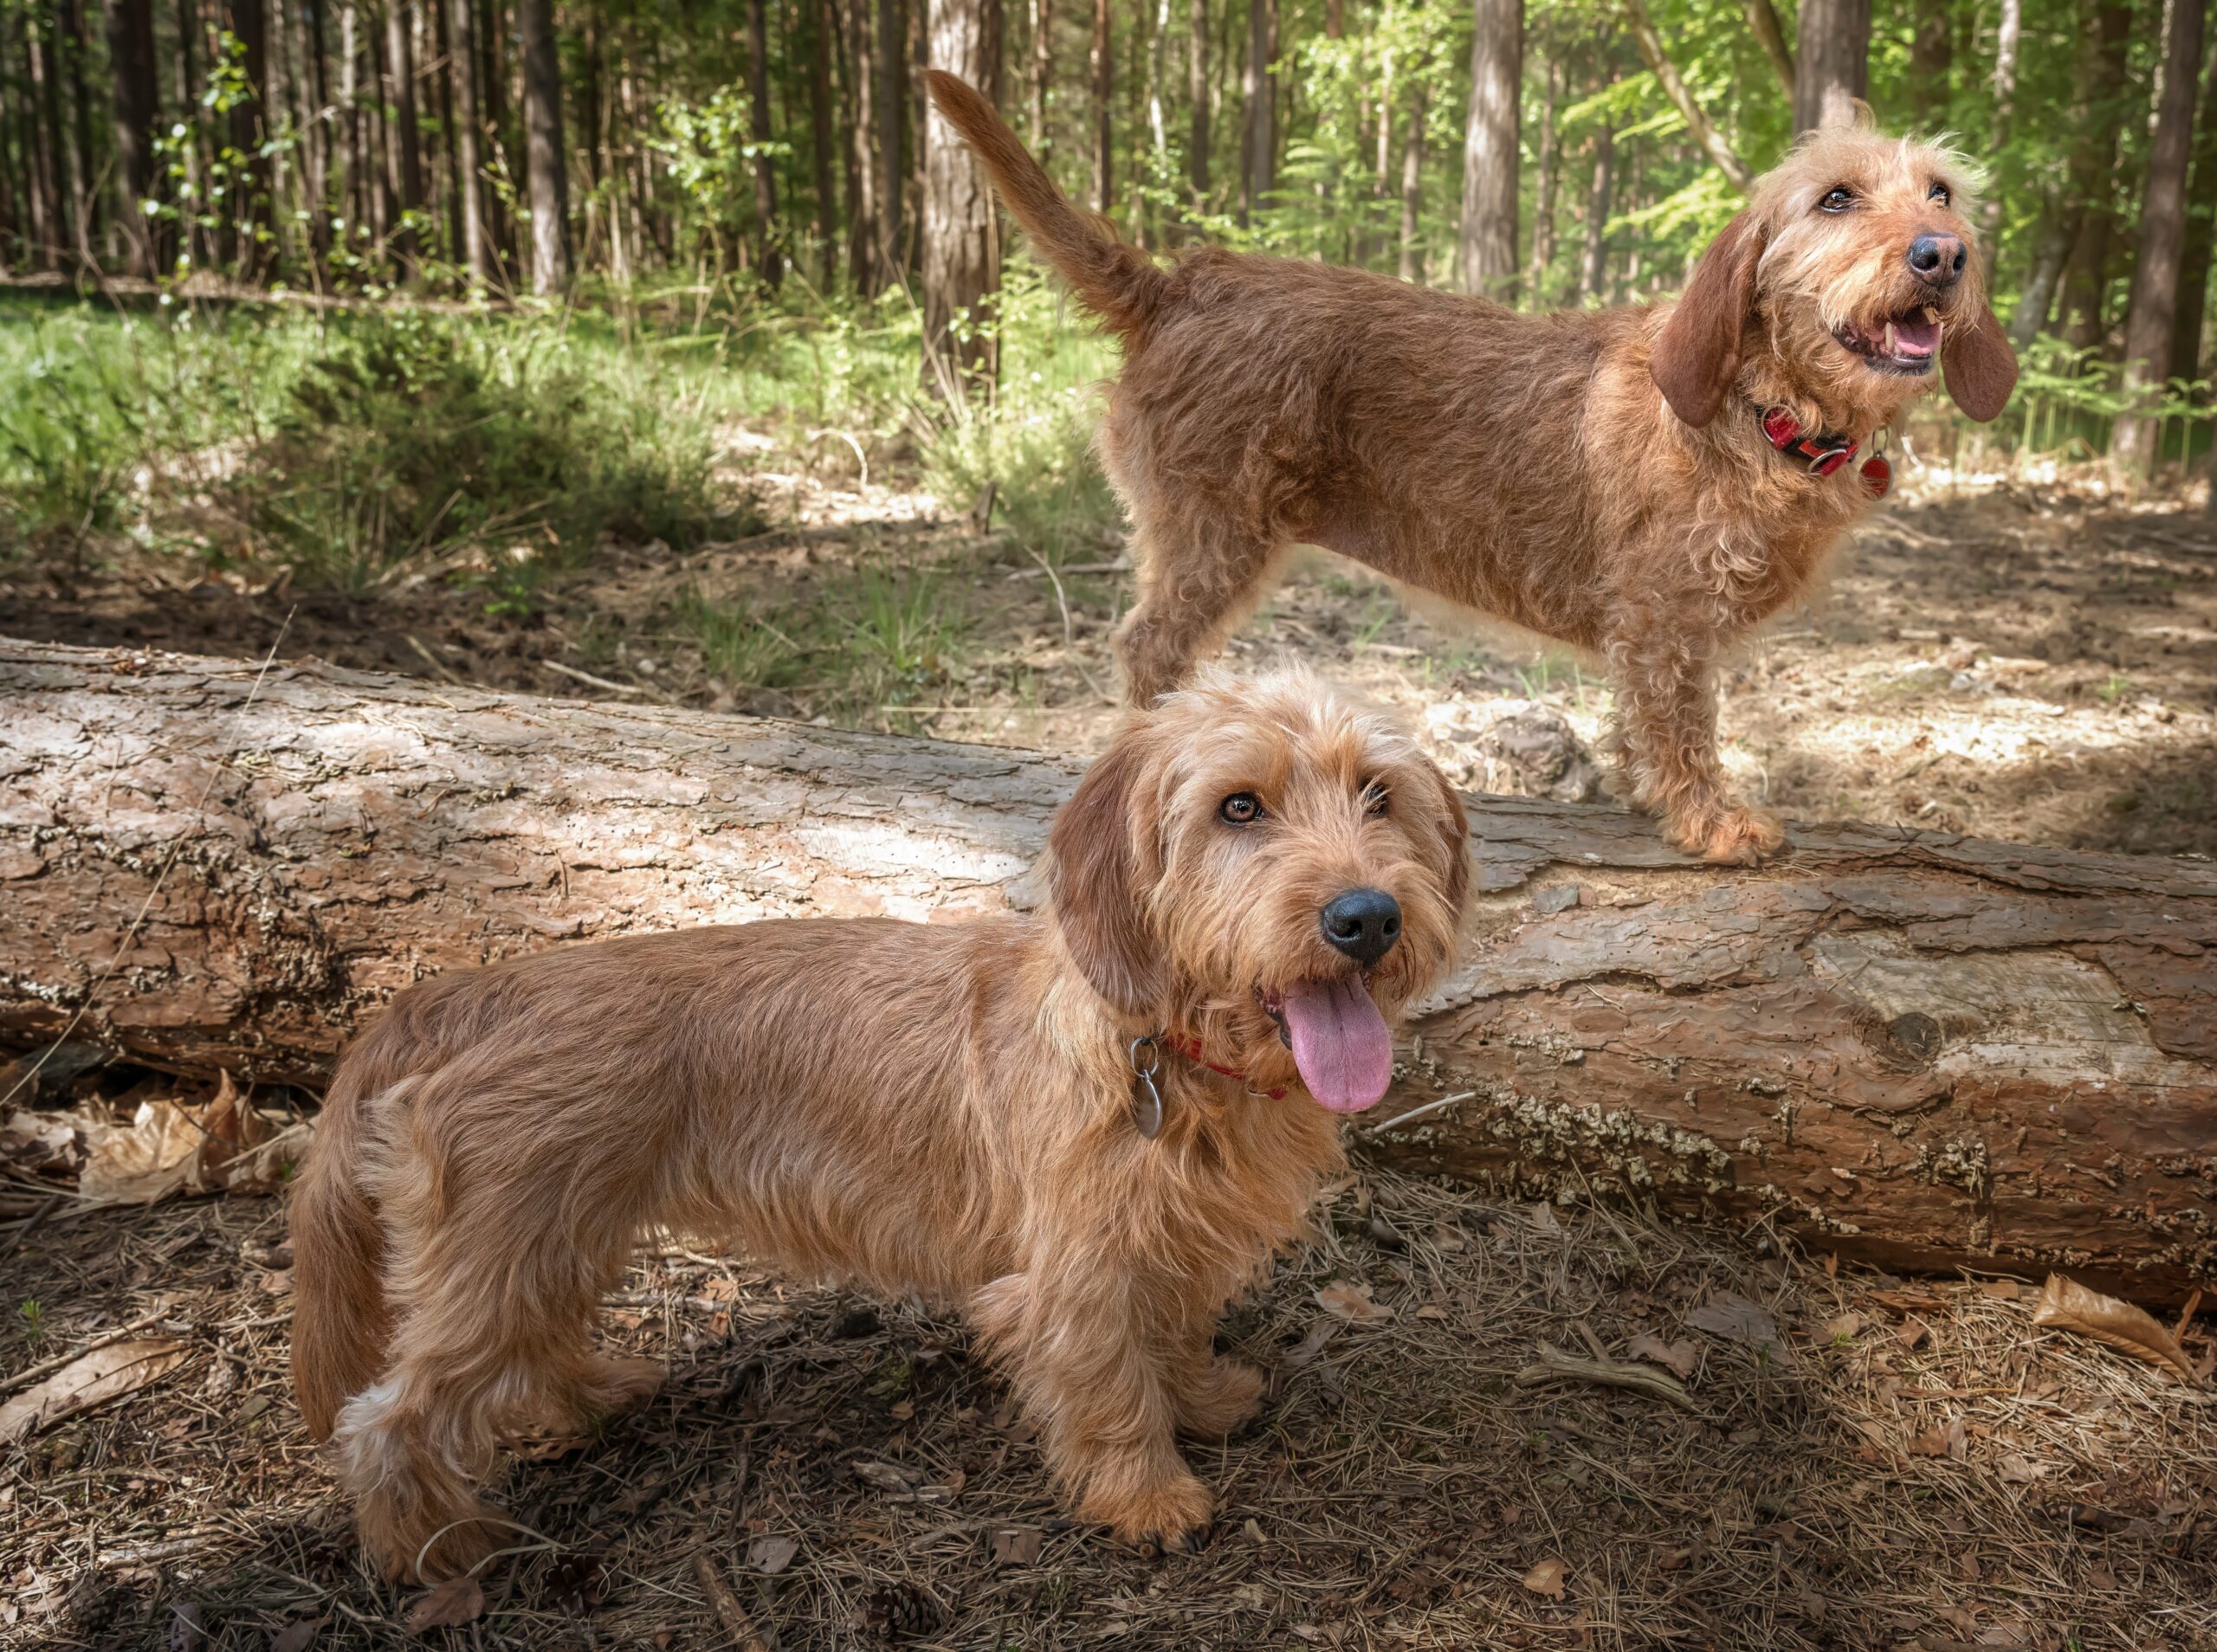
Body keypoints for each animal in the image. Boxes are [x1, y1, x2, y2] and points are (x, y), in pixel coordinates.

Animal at [290, 665, 1471, 1570]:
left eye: (1377, 795)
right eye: (1238, 807)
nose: (1366, 917)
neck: (1172, 1054)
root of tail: (463, 992)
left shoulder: (1170, 1248)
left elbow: (1171, 1333)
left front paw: (1203, 1396)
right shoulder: (1074, 1278)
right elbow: (1108, 1384)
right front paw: (1145, 1497)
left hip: (549, 1239)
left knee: (523, 1352)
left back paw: (591, 1395)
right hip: (506, 1248)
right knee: (385, 1420)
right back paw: (439, 1555)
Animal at [927, 77, 2021, 868]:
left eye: (1940, 191)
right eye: (1834, 198)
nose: (1942, 255)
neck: (1762, 411)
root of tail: (1175, 285)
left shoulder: (1656, 633)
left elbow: (1642, 726)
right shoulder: (1662, 619)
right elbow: (1682, 725)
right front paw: (1710, 820)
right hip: (1212, 536)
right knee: (1145, 648)